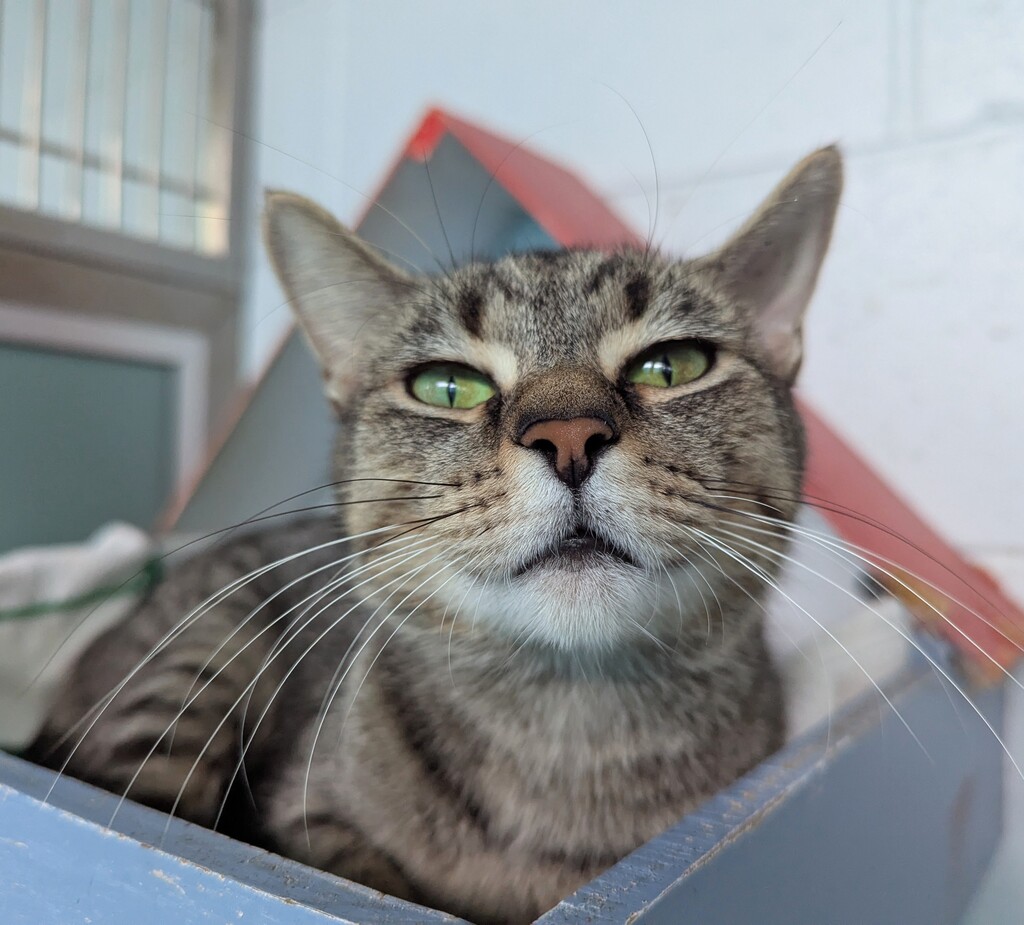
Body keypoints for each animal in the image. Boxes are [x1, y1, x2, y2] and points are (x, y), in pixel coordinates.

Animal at [30, 144, 842, 924]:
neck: (567, 727)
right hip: (194, 665)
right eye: (448, 386)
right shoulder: (304, 813)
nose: (568, 435)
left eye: (671, 366)